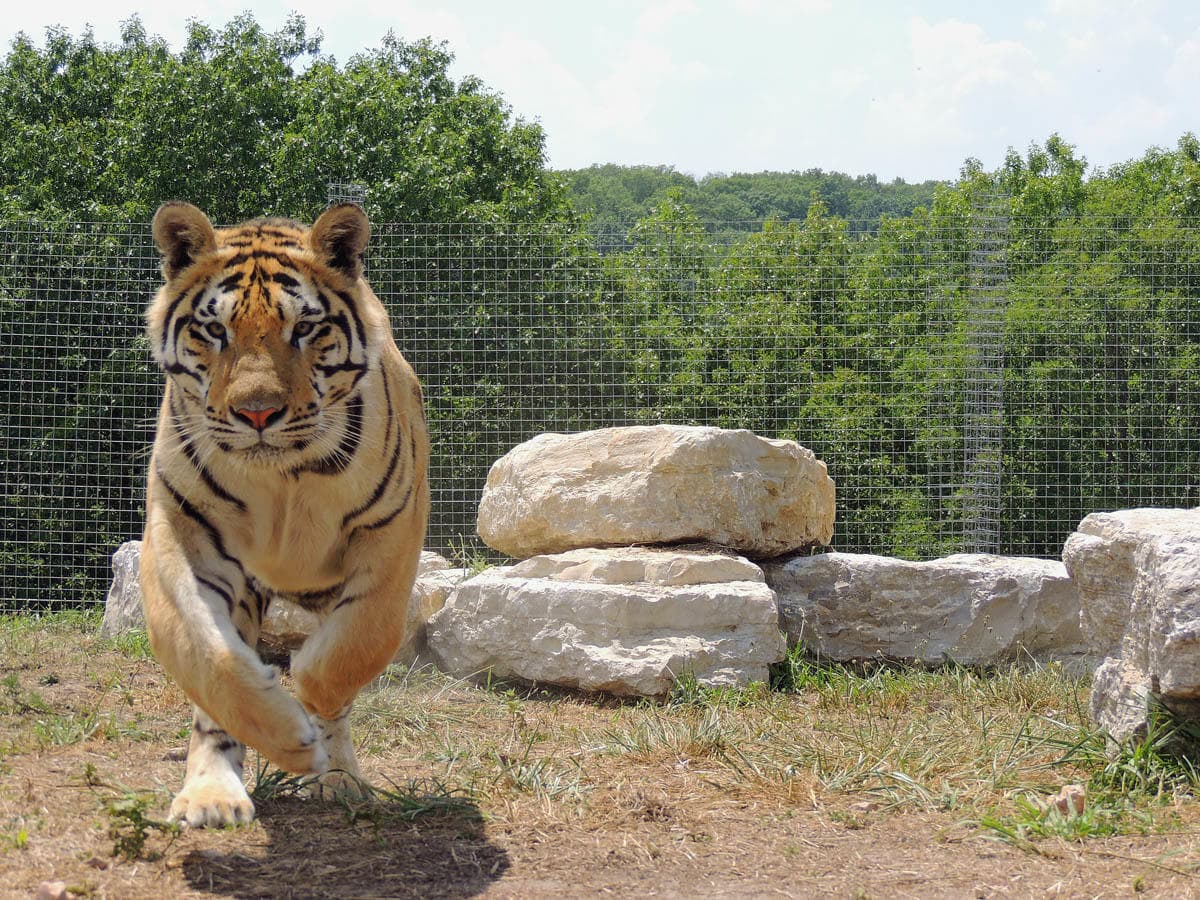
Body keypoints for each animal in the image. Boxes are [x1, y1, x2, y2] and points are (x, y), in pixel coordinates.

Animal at [139, 201, 430, 828]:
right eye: (214, 330)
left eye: (305, 328)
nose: (257, 413)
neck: (283, 476)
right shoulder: (182, 528)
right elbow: (202, 651)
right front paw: (286, 737)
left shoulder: (392, 530)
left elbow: (353, 648)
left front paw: (313, 709)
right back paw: (212, 794)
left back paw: (339, 777)